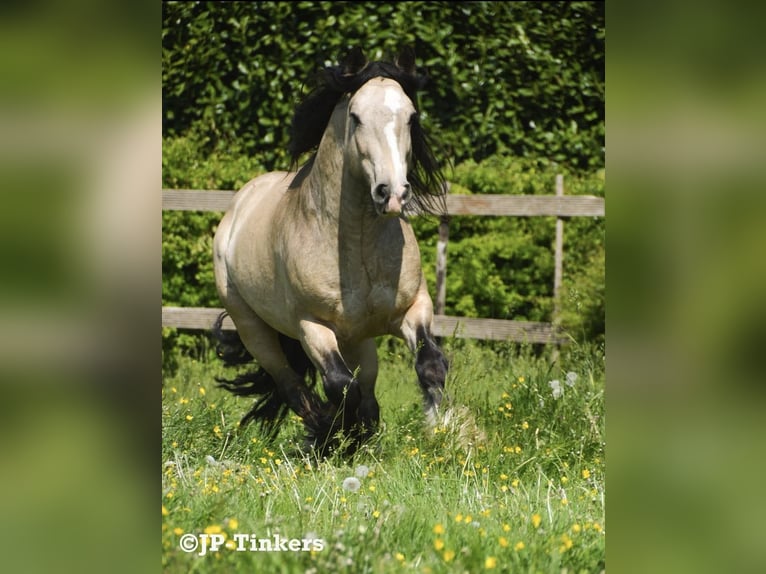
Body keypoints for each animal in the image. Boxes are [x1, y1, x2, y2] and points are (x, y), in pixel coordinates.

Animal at [212, 47, 450, 456]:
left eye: (411, 115)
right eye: (355, 116)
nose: (392, 194)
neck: (356, 246)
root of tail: (239, 205)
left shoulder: (412, 308)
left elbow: (430, 363)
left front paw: (443, 432)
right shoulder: (312, 326)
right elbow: (340, 386)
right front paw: (336, 436)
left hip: (359, 340)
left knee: (366, 388)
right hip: (253, 329)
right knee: (294, 388)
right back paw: (325, 432)